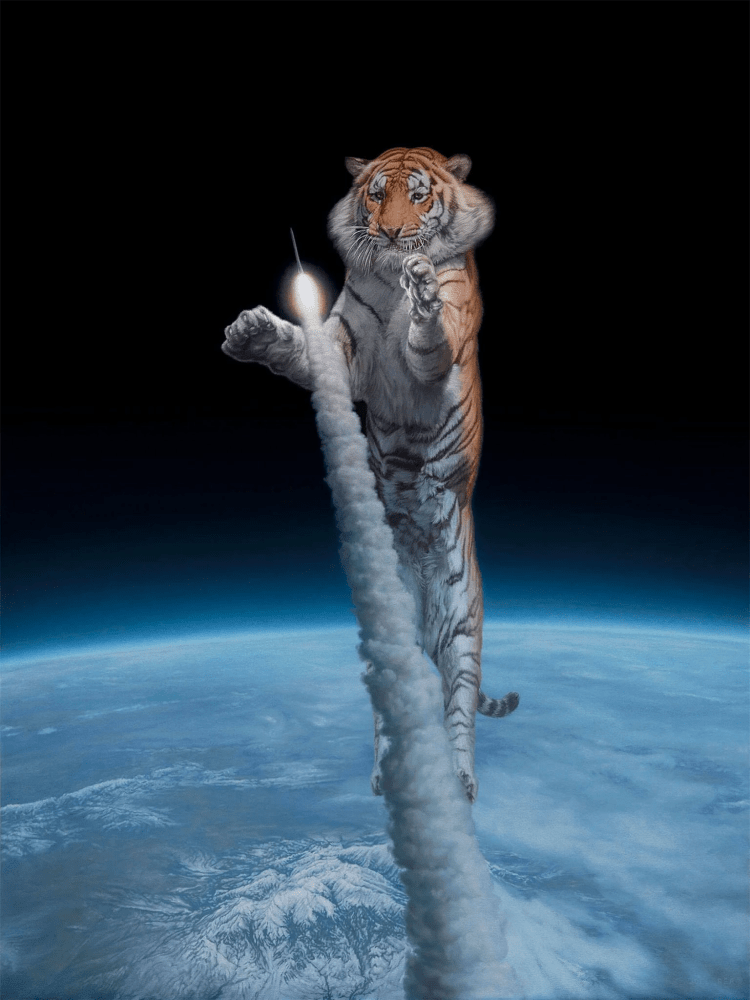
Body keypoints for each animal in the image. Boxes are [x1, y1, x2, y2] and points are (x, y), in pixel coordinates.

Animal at [222, 147, 519, 803]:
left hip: (463, 626)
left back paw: (460, 781)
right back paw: (390, 773)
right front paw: (251, 331)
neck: (384, 279)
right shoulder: (341, 344)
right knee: (394, 705)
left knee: (458, 707)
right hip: (388, 638)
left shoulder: (439, 343)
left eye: (418, 194)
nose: (389, 236)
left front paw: (422, 288)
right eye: (377, 194)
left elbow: (427, 334)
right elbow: (302, 347)